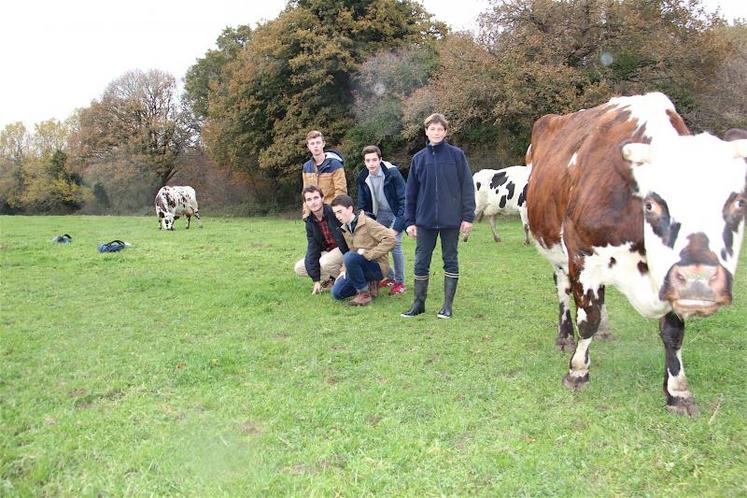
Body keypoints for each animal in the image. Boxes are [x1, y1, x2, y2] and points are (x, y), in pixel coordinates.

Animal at [524, 91, 747, 414]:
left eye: (738, 203)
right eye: (653, 204)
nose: (699, 280)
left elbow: (673, 333)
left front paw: (678, 391)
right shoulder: (582, 255)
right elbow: (587, 318)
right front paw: (577, 371)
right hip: (557, 253)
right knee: (564, 291)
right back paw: (564, 336)